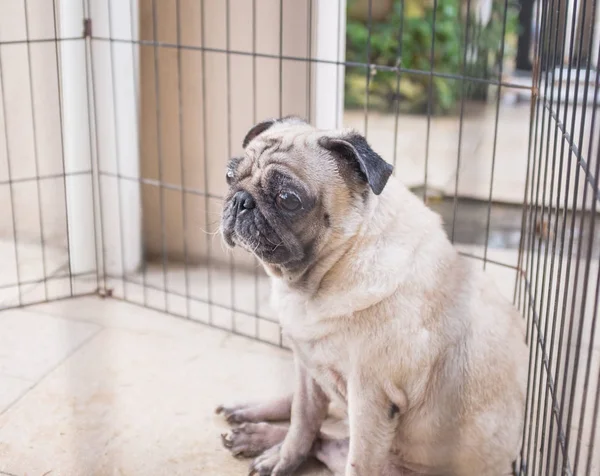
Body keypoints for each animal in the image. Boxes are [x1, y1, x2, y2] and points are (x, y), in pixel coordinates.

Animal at [218, 116, 528, 476]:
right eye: (229, 176)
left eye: (288, 199)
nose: (240, 200)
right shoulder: (307, 367)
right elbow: (302, 420)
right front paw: (285, 457)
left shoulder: (370, 397)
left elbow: (351, 455)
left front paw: (282, 456)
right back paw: (253, 418)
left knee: (327, 441)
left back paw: (259, 436)